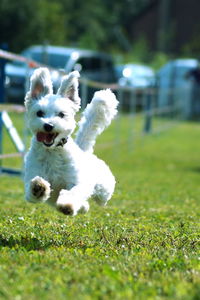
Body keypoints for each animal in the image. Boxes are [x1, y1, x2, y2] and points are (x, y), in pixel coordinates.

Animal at [24, 67, 118, 216]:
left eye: (61, 114)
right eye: (39, 113)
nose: (48, 125)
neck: (53, 151)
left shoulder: (76, 181)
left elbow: (74, 192)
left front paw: (67, 205)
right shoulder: (33, 173)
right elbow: (32, 191)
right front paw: (38, 187)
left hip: (103, 187)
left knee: (102, 196)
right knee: (85, 204)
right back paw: (83, 207)